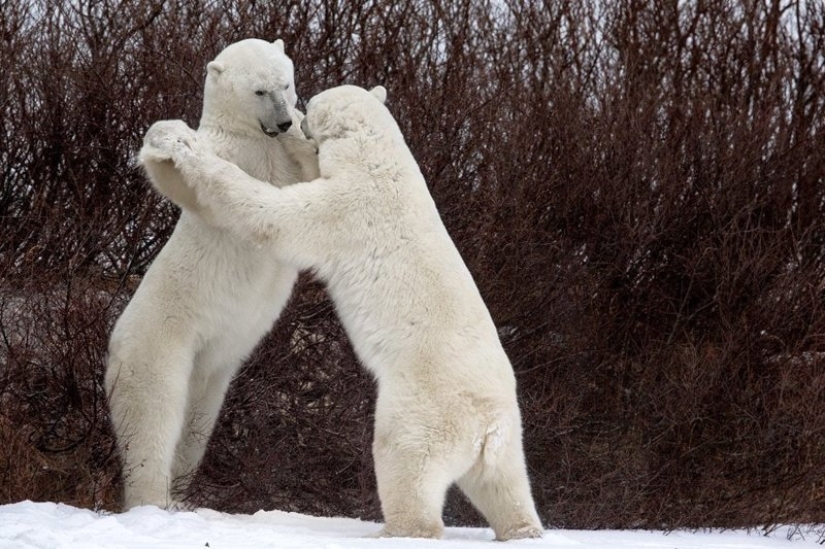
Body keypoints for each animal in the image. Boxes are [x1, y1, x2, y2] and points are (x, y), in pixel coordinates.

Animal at [104, 38, 320, 510]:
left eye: (285, 83)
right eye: (259, 91)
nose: (282, 121)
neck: (254, 138)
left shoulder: (279, 158)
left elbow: (313, 179)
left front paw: (305, 129)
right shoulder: (230, 154)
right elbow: (185, 181)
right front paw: (171, 138)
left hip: (213, 370)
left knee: (196, 425)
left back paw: (183, 493)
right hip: (159, 345)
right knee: (153, 417)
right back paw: (153, 499)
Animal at [138, 85, 544, 540]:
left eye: (312, 103)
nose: (296, 116)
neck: (381, 160)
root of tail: (486, 427)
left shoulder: (348, 208)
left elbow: (275, 215)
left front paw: (186, 148)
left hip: (423, 408)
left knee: (405, 459)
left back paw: (396, 529)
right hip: (508, 439)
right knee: (505, 485)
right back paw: (523, 528)